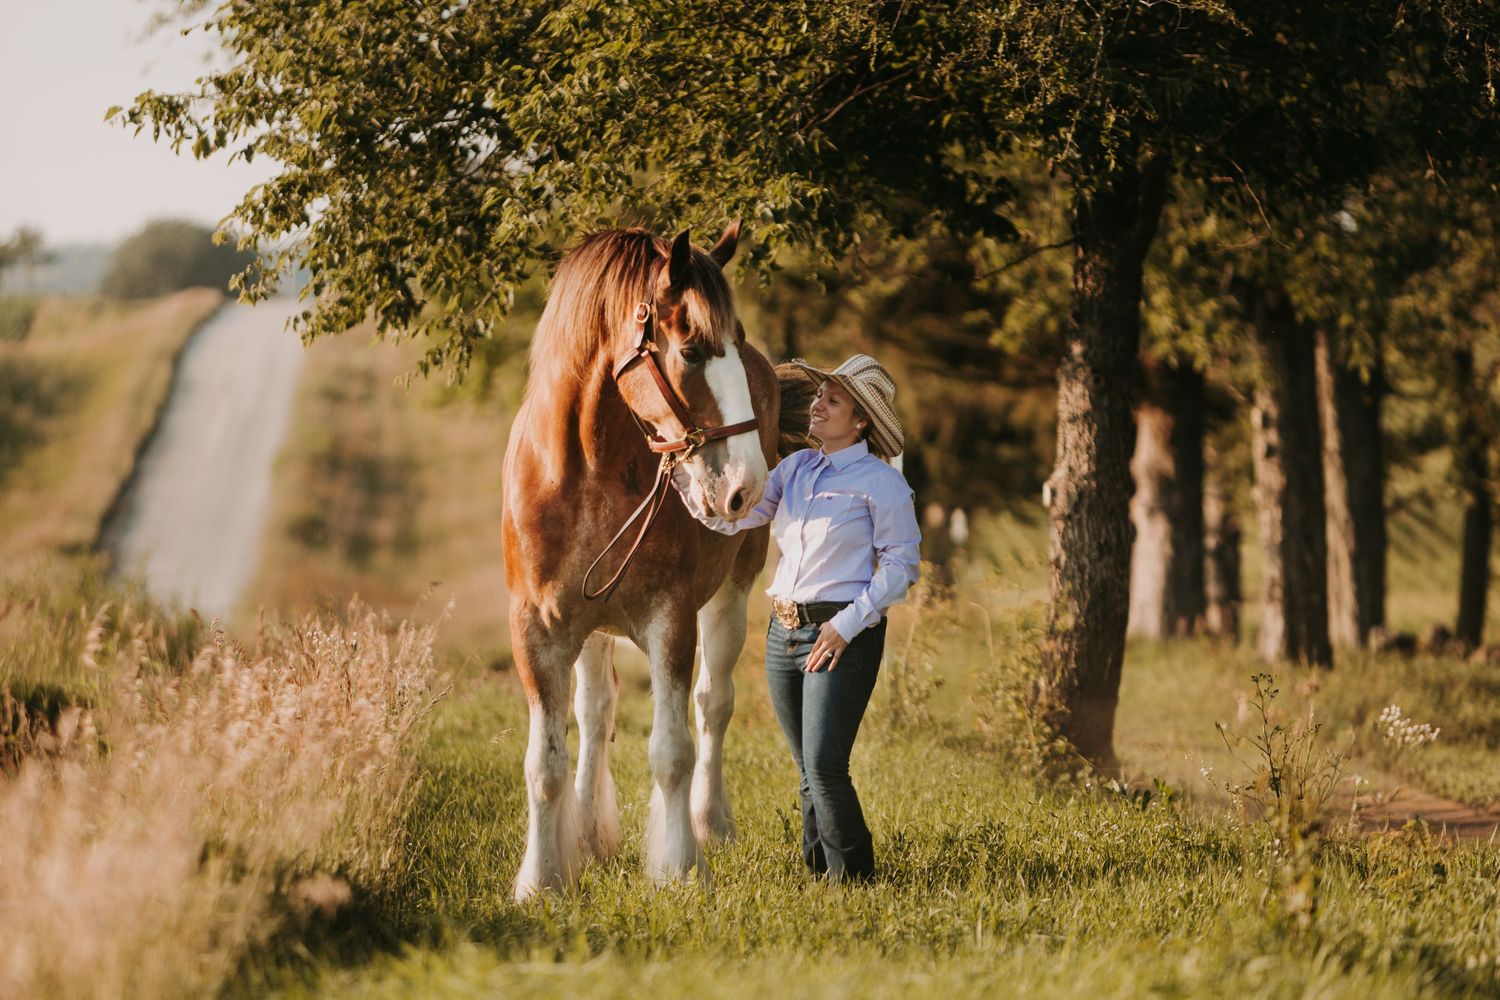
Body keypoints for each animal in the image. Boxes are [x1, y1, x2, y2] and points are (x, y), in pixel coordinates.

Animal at [501, 222, 805, 899]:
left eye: (733, 344)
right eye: (690, 351)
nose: (747, 484)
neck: (585, 472)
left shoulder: (671, 621)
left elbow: (672, 751)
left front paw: (679, 867)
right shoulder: (538, 629)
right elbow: (544, 763)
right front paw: (544, 879)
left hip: (729, 598)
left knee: (713, 705)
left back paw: (711, 823)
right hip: (589, 630)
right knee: (594, 715)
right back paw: (590, 836)